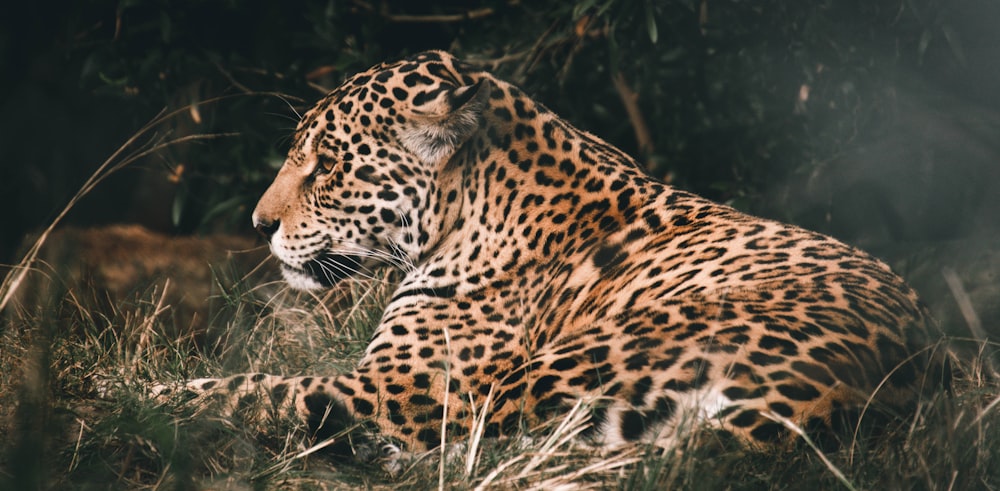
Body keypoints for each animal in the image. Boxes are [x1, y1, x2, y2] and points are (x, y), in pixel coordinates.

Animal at [166, 49, 944, 458]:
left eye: (326, 166)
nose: (258, 223)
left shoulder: (404, 389)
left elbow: (258, 385)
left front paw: (144, 397)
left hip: (561, 366)